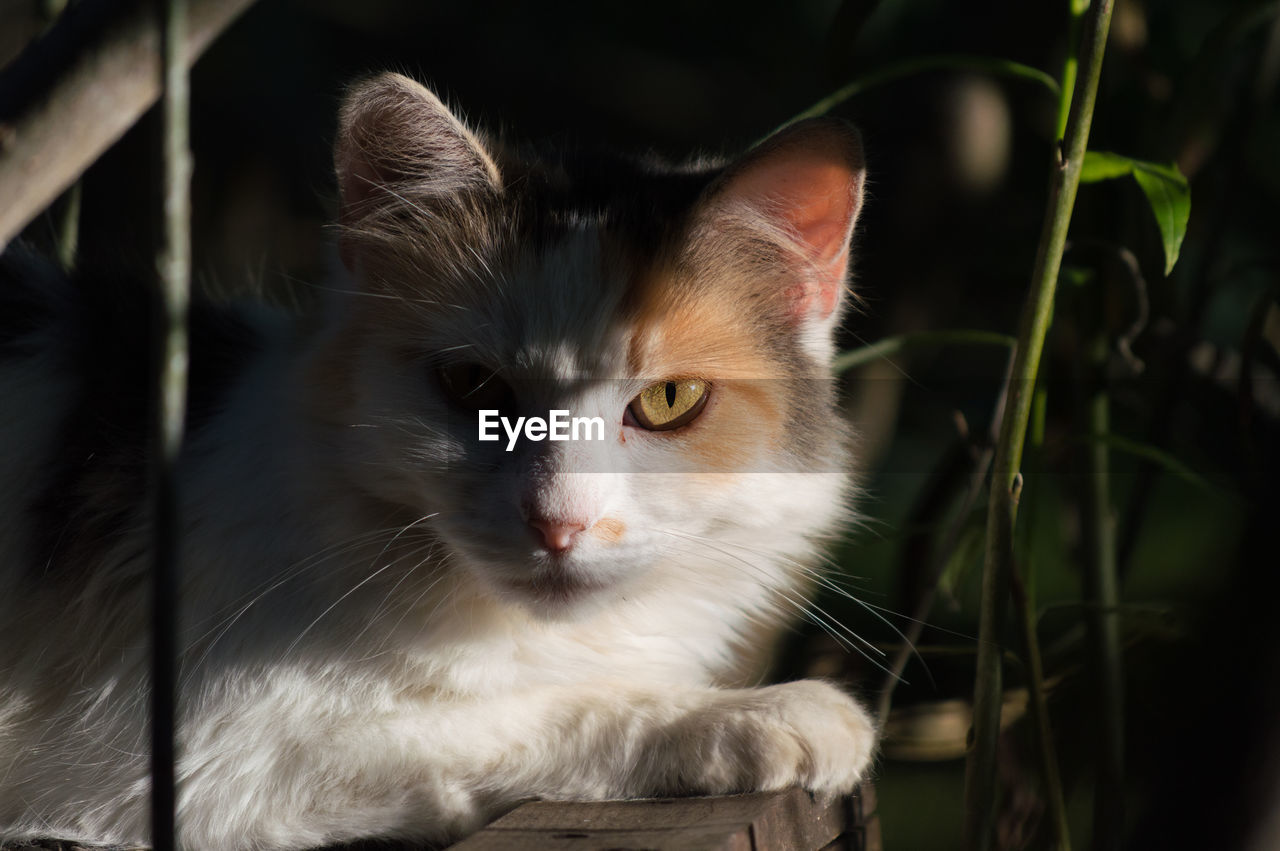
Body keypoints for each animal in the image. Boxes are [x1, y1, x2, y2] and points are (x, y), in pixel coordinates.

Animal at [0, 74, 875, 849]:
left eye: (669, 399)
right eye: (473, 385)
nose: (558, 523)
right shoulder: (192, 759)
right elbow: (551, 711)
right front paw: (765, 713)